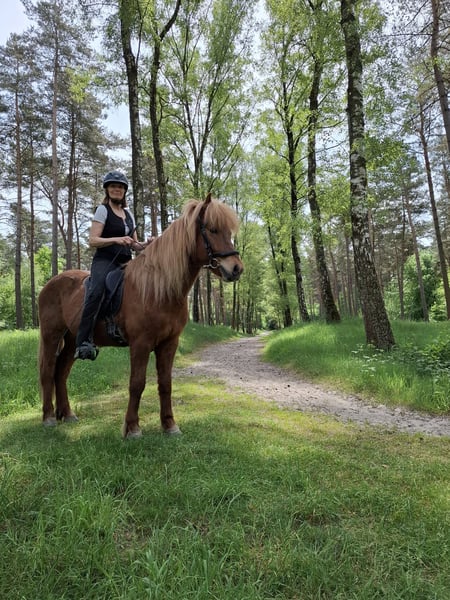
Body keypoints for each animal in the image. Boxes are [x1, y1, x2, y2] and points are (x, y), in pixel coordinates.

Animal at [38, 193, 244, 438]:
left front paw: (170, 425)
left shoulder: (169, 343)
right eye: (212, 230)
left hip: (72, 340)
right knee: (47, 370)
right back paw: (48, 417)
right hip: (51, 334)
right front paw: (133, 427)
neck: (159, 288)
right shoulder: (141, 343)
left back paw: (67, 414)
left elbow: (165, 384)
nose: (236, 269)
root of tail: (49, 284)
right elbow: (137, 383)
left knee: (61, 372)